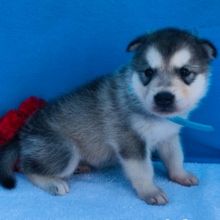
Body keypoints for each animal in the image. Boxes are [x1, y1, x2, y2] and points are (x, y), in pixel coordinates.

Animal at [0, 27, 217, 205]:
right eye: (148, 72)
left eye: (185, 72)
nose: (163, 98)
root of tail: (22, 131)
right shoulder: (130, 141)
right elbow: (143, 169)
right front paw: (150, 191)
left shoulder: (169, 136)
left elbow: (175, 157)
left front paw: (180, 175)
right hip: (63, 149)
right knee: (28, 168)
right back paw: (53, 182)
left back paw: (80, 167)